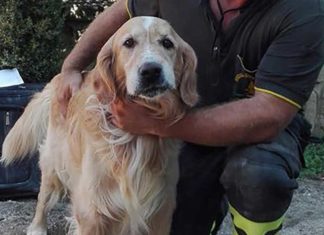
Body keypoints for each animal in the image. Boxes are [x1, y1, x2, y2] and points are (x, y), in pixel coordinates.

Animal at [0, 17, 197, 235]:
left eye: (167, 43)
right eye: (128, 43)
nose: (151, 71)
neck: (133, 140)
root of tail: (59, 77)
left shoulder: (160, 211)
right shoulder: (91, 212)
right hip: (53, 161)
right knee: (44, 196)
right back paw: (37, 227)